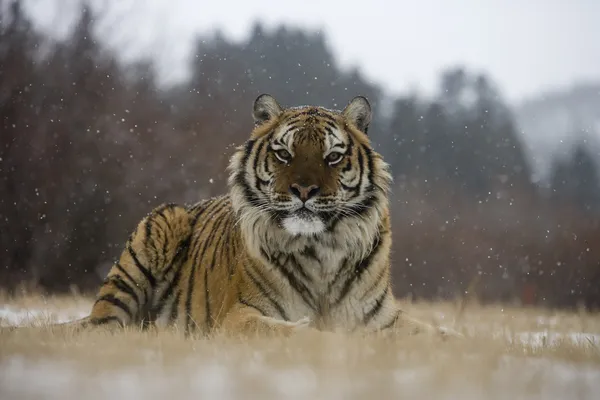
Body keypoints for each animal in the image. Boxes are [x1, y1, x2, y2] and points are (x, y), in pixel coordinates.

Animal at [59, 94, 454, 338]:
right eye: (284, 153)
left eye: (332, 156)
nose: (304, 190)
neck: (321, 250)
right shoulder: (240, 315)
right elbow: (298, 334)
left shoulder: (381, 318)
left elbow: (435, 334)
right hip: (155, 232)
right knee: (107, 326)